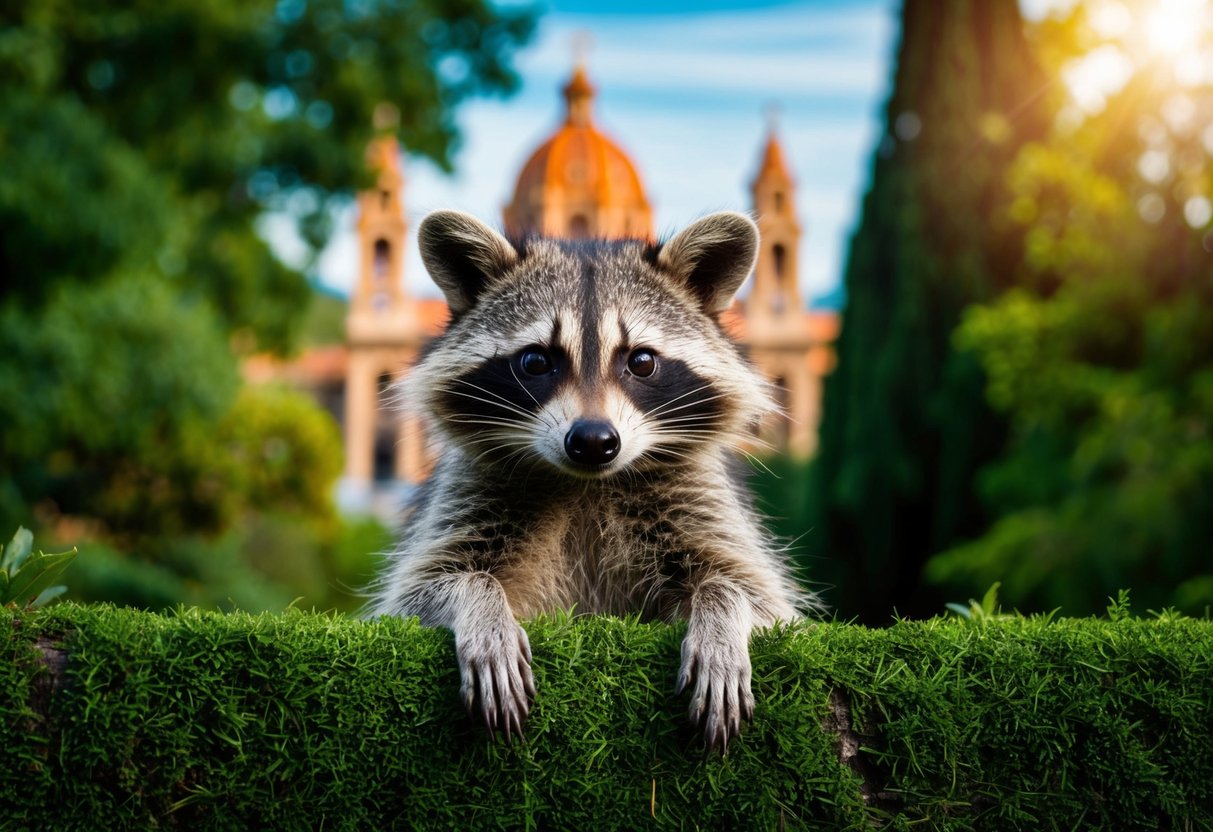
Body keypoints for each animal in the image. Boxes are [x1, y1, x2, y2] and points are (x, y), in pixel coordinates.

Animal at [368, 210, 814, 752]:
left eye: (641, 361)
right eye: (536, 360)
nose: (594, 440)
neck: (586, 483)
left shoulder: (699, 500)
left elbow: (752, 593)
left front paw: (721, 613)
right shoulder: (469, 492)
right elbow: (428, 588)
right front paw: (482, 606)